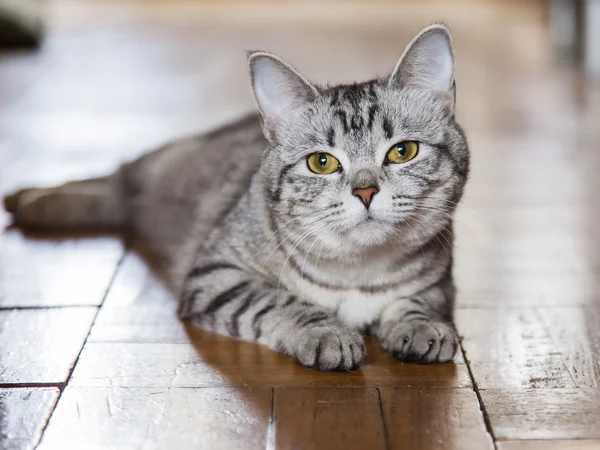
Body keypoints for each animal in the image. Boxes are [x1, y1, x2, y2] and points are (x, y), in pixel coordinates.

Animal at [5, 22, 474, 370]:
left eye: (403, 152)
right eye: (322, 162)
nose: (365, 190)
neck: (358, 272)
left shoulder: (441, 282)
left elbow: (419, 302)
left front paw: (422, 327)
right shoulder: (216, 272)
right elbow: (279, 300)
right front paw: (326, 331)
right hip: (156, 169)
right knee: (115, 180)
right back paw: (31, 199)